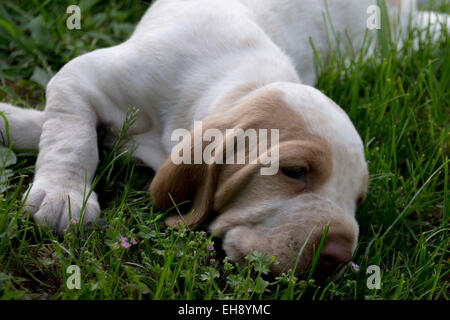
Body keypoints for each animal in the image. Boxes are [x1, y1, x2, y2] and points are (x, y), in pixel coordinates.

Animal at [0, 0, 442, 276]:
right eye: (295, 172)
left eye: (358, 201)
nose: (337, 256)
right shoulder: (85, 77)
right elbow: (66, 133)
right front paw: (63, 195)